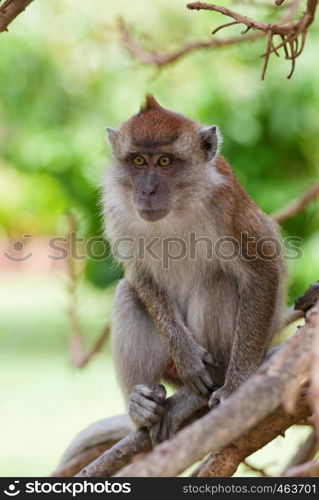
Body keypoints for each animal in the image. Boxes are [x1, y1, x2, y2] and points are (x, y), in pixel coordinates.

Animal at [105, 95, 288, 444]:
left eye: (165, 162)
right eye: (138, 161)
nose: (147, 191)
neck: (180, 205)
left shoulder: (227, 206)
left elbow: (263, 271)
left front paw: (237, 386)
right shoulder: (116, 208)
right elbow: (140, 276)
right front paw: (187, 356)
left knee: (218, 282)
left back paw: (211, 384)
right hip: (168, 370)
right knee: (127, 294)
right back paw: (142, 409)